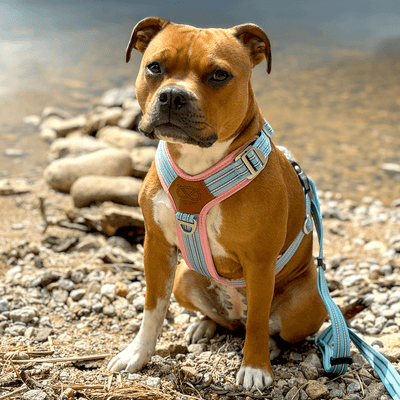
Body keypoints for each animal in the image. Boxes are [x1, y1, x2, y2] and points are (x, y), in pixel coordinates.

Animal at [107, 17, 328, 390]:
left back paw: (270, 345)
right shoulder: (156, 246)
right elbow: (152, 308)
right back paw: (205, 325)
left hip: (305, 306)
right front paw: (137, 354)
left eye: (219, 75)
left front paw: (255, 367)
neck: (199, 163)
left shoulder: (259, 262)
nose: (173, 95)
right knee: (226, 321)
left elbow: (257, 320)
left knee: (264, 326)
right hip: (184, 278)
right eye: (155, 67)